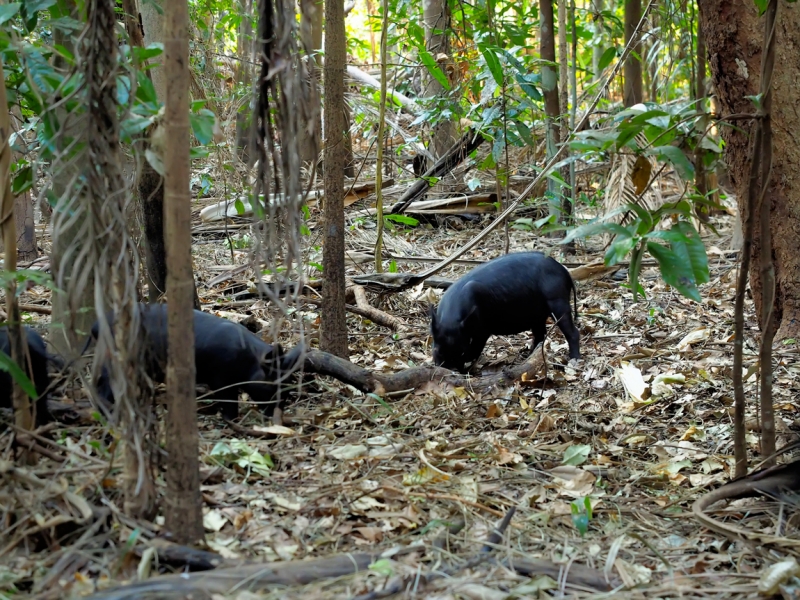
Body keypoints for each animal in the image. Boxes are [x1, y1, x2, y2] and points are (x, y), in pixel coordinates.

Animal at [428, 251, 580, 372]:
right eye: (437, 350)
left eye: (462, 352)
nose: (451, 369)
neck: (451, 320)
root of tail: (565, 271)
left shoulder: (482, 331)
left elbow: (475, 350)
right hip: (538, 315)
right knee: (540, 335)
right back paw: (528, 356)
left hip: (558, 302)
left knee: (572, 332)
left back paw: (574, 360)